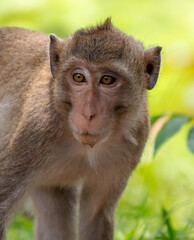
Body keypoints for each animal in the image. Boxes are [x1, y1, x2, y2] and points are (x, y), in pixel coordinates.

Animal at [0, 19, 161, 240]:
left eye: (107, 80)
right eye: (78, 77)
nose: (88, 114)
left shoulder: (133, 140)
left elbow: (96, 215)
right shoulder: (35, 130)